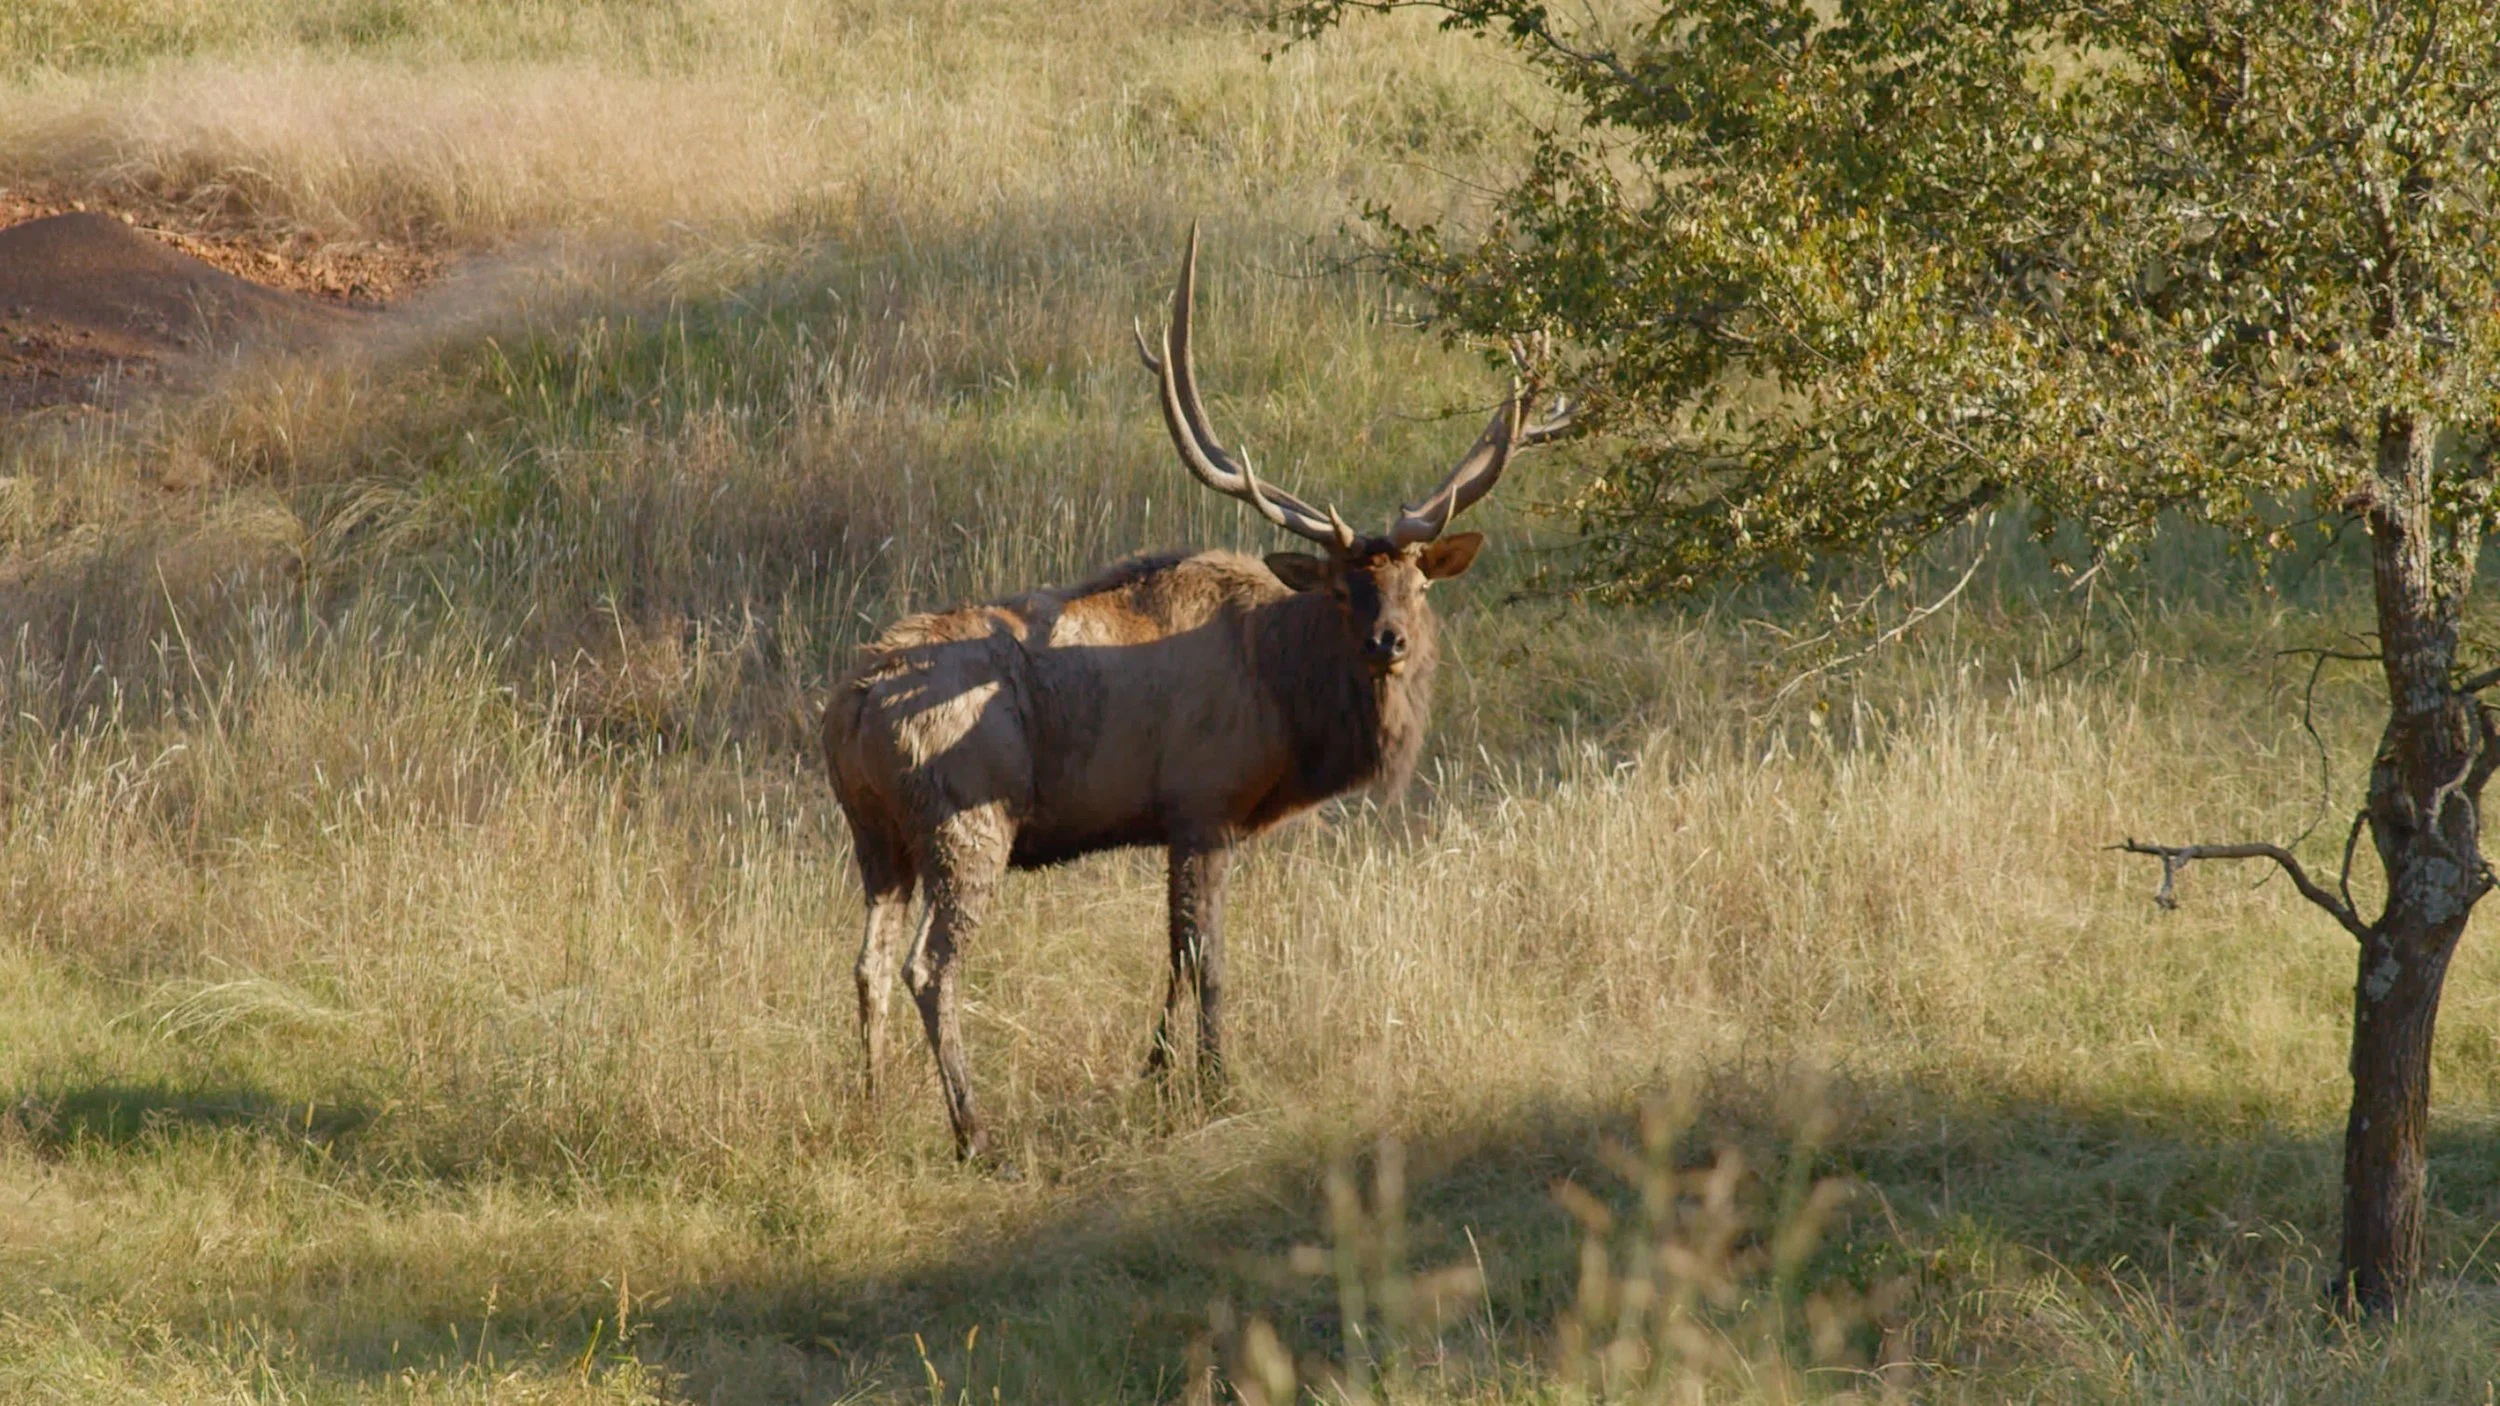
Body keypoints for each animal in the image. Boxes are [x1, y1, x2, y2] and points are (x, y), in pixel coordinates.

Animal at [822, 227, 1571, 1160]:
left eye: (1417, 583)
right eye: (1342, 589)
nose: (1389, 642)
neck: (1288, 700)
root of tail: (847, 709)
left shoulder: (1175, 821)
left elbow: (1171, 953)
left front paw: (1155, 1071)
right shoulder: (1203, 802)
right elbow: (1204, 956)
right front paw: (1217, 1081)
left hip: (875, 835)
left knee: (867, 964)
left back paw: (873, 1106)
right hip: (965, 819)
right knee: (929, 965)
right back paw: (972, 1129)